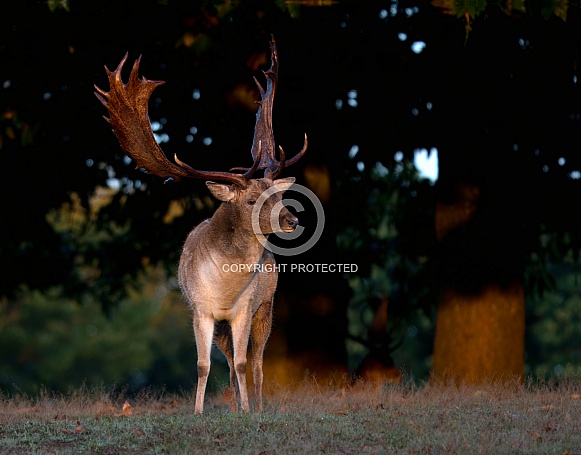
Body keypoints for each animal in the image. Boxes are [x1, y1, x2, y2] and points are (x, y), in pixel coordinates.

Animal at [94, 35, 308, 414]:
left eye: (278, 194)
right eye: (251, 200)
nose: (291, 219)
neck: (225, 289)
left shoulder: (244, 309)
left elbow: (244, 363)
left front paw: (249, 411)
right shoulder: (199, 309)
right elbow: (203, 364)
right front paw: (198, 411)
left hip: (266, 305)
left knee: (255, 360)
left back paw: (256, 405)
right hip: (223, 323)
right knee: (229, 359)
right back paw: (237, 403)